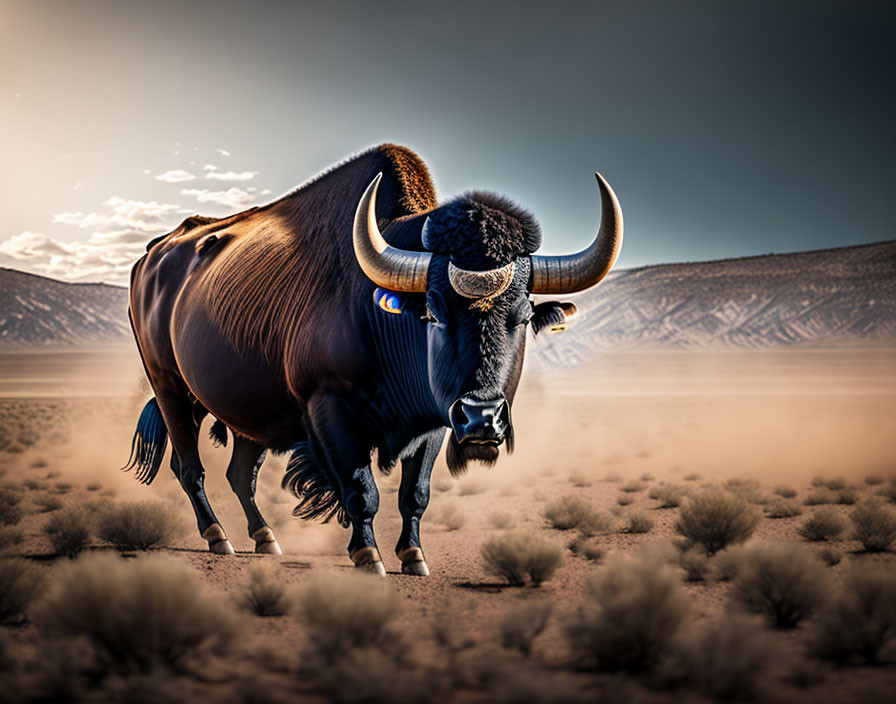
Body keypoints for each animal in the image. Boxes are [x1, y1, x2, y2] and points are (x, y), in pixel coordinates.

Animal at [124, 144, 624, 576]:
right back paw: (218, 537)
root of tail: (152, 256)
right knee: (190, 469)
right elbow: (361, 490)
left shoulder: (434, 421)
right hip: (169, 388)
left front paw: (414, 557)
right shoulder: (329, 407)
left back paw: (266, 539)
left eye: (522, 316)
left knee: (239, 474)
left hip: (251, 413)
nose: (482, 419)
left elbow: (415, 493)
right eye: (433, 312)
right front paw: (369, 557)